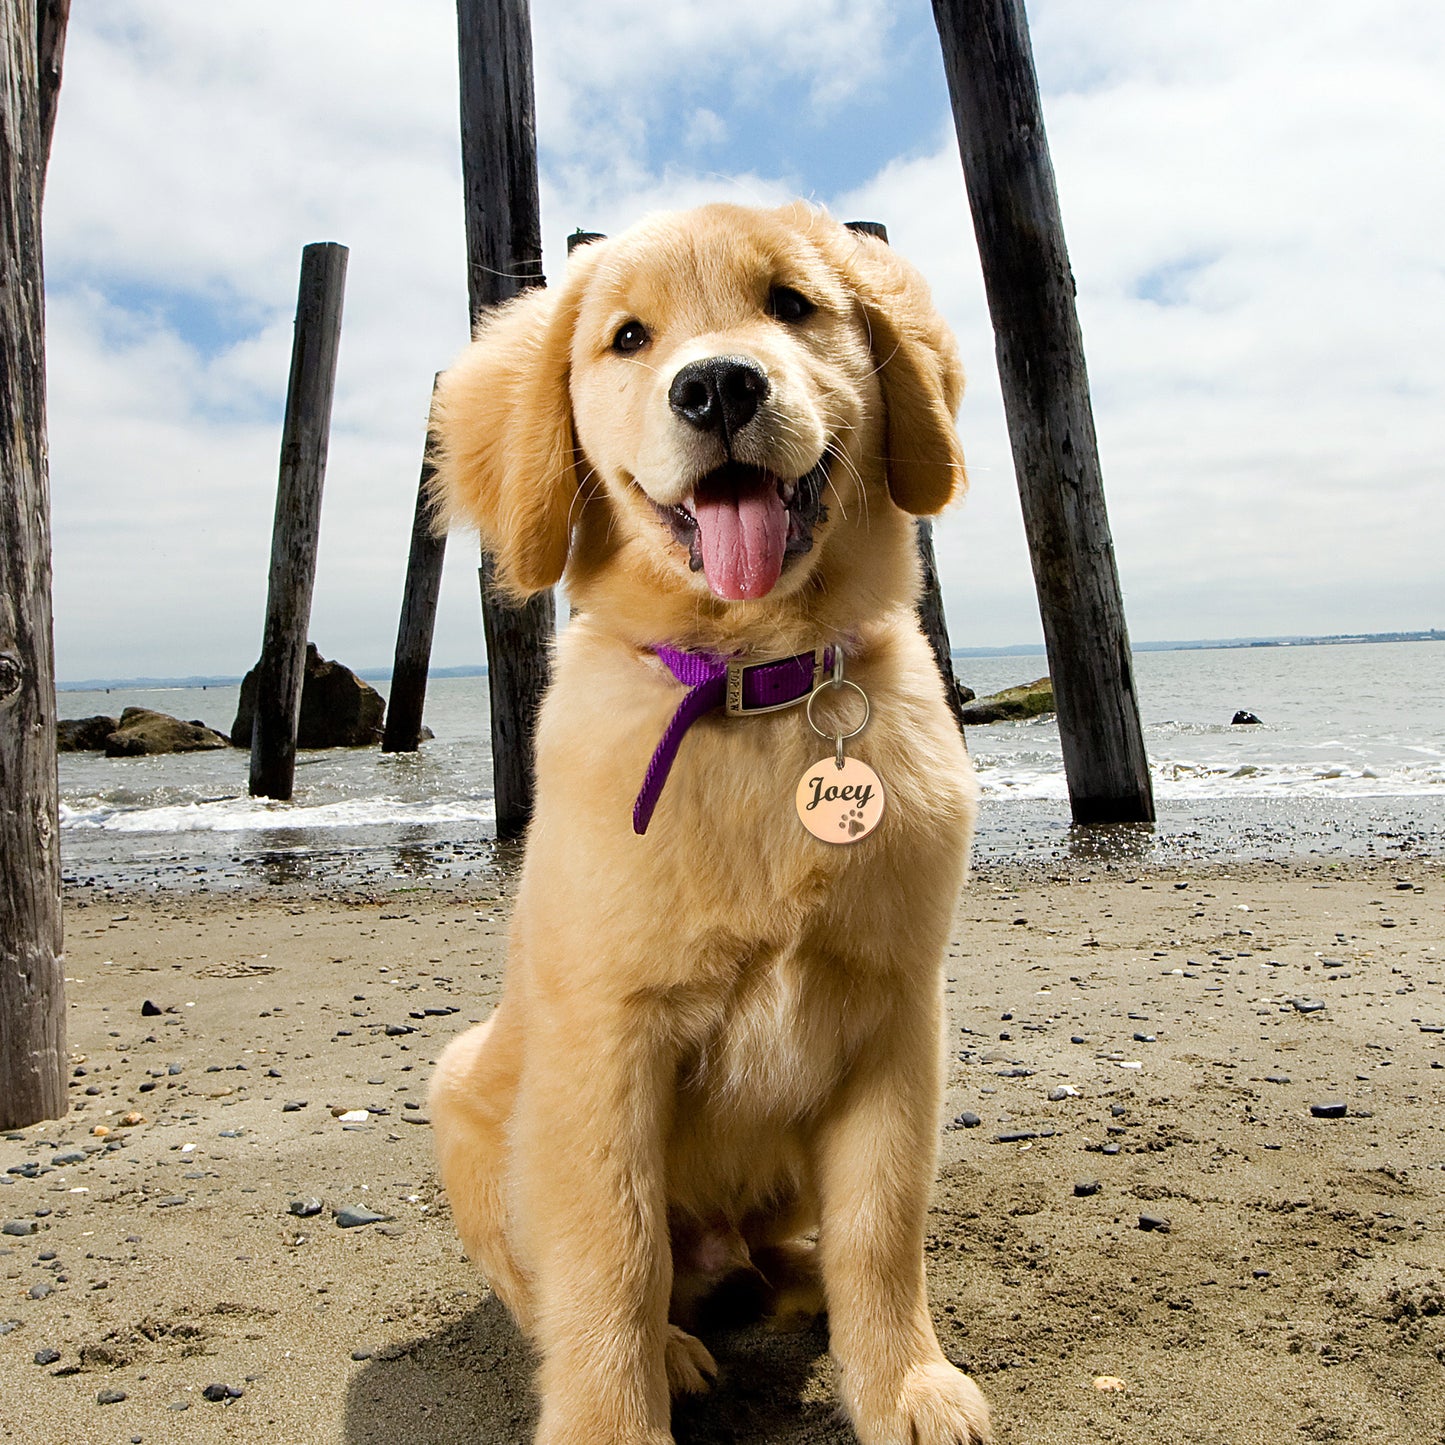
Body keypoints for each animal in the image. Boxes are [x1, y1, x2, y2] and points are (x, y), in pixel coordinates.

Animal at [427, 206, 988, 1445]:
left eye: (790, 304)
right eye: (628, 337)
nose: (719, 384)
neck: (755, 684)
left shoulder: (896, 1013)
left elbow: (880, 1224)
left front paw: (901, 1381)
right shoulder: (606, 1040)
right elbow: (610, 1259)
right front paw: (610, 1421)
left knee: (782, 1250)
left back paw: (794, 1284)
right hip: (462, 1089)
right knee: (560, 1285)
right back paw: (679, 1345)